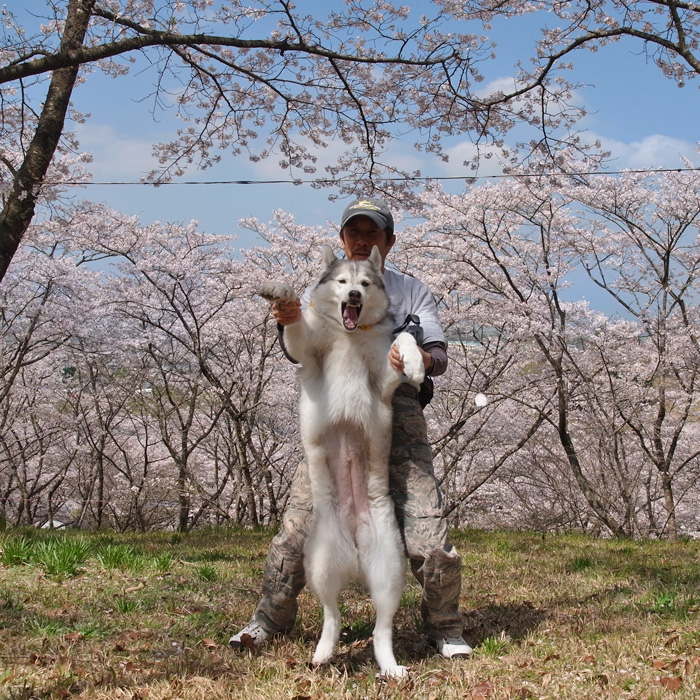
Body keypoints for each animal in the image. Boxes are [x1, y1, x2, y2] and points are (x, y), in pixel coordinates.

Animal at [262, 246, 426, 680]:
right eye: (342, 282)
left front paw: (417, 364)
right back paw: (323, 652)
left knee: (381, 627)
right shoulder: (307, 353)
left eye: (365, 284)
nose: (353, 296)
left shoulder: (384, 380)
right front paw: (282, 295)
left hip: (389, 572)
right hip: (319, 564)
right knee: (331, 614)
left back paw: (389, 665)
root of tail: (353, 549)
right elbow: (296, 325)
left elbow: (405, 336)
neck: (350, 335)